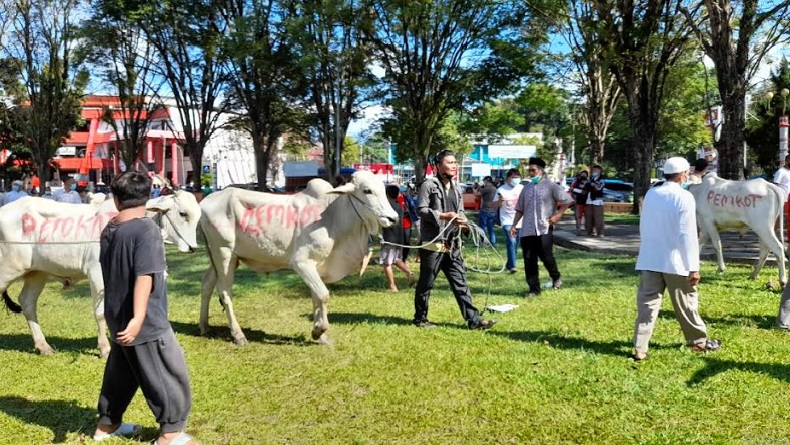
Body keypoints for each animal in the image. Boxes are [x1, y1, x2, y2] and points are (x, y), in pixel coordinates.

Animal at [0, 189, 203, 356]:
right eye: (183, 213)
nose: (193, 247)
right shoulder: (97, 273)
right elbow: (101, 313)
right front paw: (105, 349)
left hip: (37, 273)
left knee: (27, 302)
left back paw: (44, 347)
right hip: (8, 270)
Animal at [201, 169, 400, 344]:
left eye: (383, 189)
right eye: (367, 190)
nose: (394, 218)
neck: (332, 216)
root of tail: (205, 202)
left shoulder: (318, 266)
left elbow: (316, 297)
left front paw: (321, 336)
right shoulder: (301, 262)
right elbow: (323, 295)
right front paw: (318, 330)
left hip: (222, 257)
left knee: (207, 285)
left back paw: (204, 326)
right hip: (224, 254)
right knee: (225, 293)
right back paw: (238, 335)